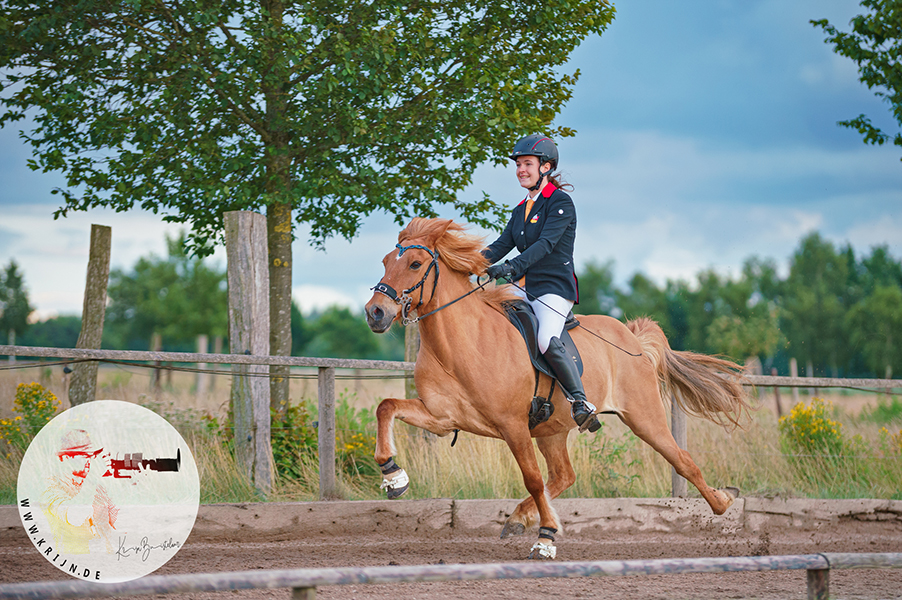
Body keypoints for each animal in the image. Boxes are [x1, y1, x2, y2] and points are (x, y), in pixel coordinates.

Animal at [364, 218, 752, 560]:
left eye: (415, 264)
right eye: (384, 261)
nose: (375, 312)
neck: (463, 345)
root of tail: (633, 339)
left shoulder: (513, 426)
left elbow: (532, 479)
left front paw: (546, 539)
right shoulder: (443, 418)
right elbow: (386, 406)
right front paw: (393, 477)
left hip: (645, 418)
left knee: (682, 461)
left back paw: (723, 503)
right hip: (552, 430)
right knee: (565, 475)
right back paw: (519, 518)